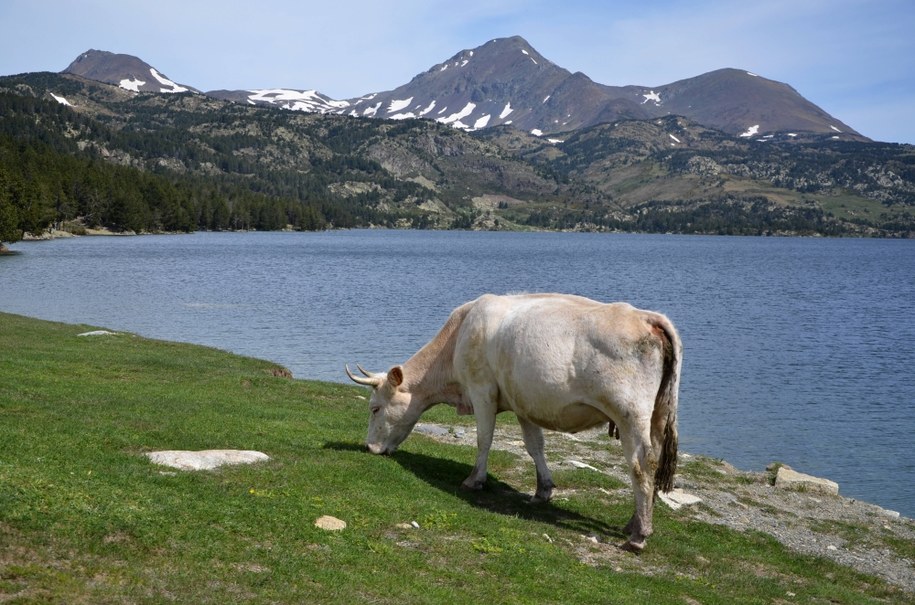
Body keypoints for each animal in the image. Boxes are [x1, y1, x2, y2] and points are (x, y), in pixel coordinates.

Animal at [348, 292, 684, 552]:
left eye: (375, 408)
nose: (370, 447)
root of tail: (648, 317)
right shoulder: (523, 402)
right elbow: (534, 446)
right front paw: (542, 491)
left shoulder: (482, 390)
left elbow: (484, 438)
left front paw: (474, 480)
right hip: (657, 414)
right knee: (653, 458)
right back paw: (634, 521)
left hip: (630, 414)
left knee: (642, 463)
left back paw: (639, 535)